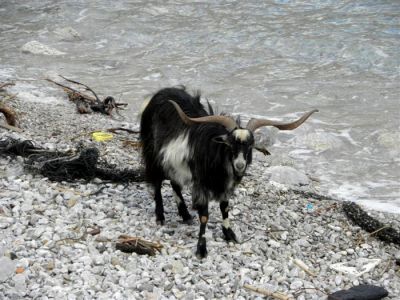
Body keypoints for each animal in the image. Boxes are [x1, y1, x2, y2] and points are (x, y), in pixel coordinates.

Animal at [139, 86, 318, 258]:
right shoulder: (201, 185)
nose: (239, 165)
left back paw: (185, 215)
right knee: (156, 183)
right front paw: (201, 249)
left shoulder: (225, 187)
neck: (219, 156)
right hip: (153, 154)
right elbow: (204, 216)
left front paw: (229, 235)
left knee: (174, 183)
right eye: (230, 144)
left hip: (174, 163)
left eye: (250, 146)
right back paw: (160, 217)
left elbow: (224, 208)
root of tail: (159, 94)